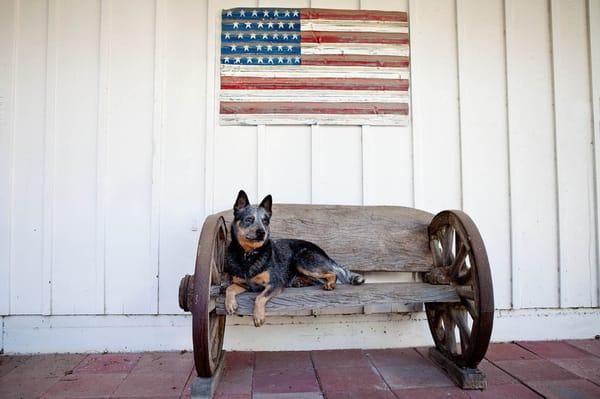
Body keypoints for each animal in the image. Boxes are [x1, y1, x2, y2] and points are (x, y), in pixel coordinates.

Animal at [225, 191, 366, 328]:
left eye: (265, 221)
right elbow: (229, 288)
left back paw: (329, 284)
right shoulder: (243, 284)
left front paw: (258, 316)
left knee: (332, 273)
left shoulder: (276, 283)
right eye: (249, 219)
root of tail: (323, 253)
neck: (249, 255)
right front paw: (230, 304)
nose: (262, 232)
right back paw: (300, 282)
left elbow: (259, 297)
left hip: (302, 259)